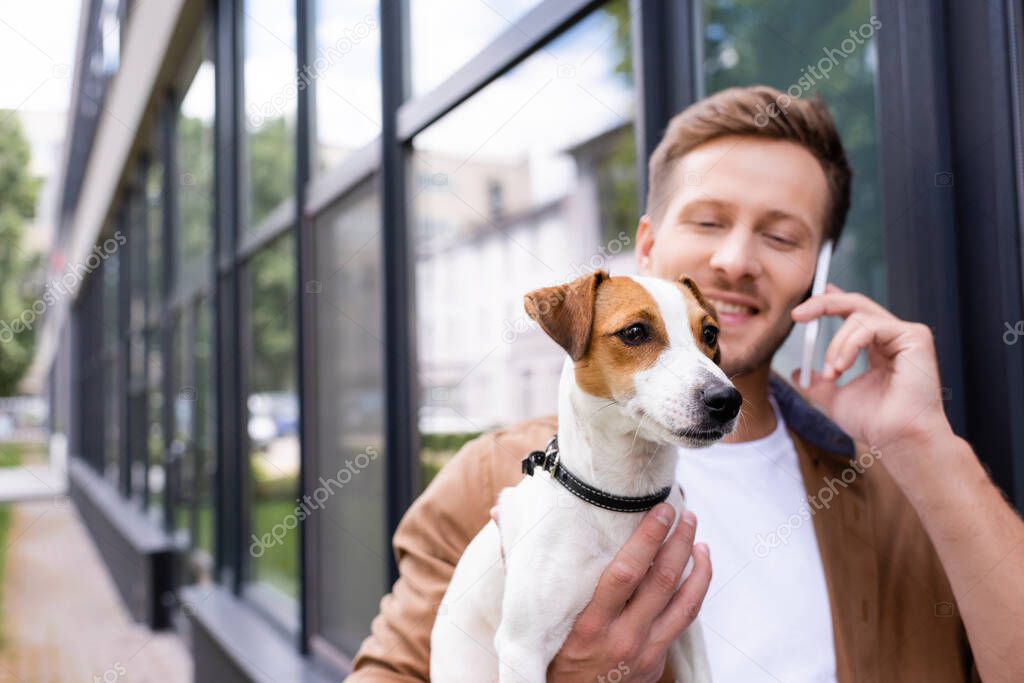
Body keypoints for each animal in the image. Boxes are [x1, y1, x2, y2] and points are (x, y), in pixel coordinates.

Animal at [428, 270, 741, 679]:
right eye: (635, 332)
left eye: (710, 334)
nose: (727, 400)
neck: (622, 498)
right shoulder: (523, 648)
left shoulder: (687, 630)